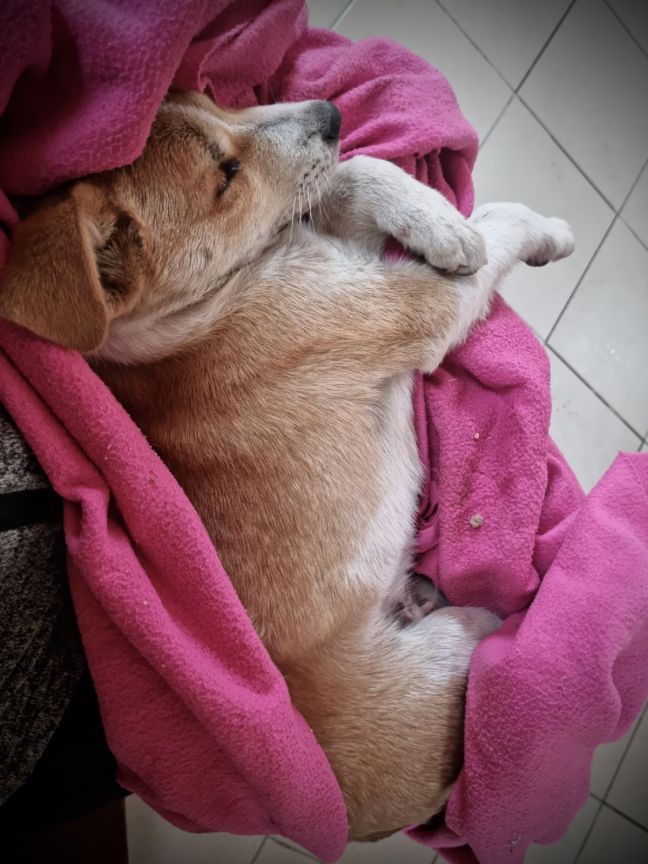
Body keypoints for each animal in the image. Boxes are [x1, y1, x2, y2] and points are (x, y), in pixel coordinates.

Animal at [0, 93, 574, 841]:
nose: (331, 113)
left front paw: (435, 219)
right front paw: (528, 231)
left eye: (206, 94)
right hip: (448, 659)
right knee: (494, 641)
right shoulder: (414, 306)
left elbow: (356, 172)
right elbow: (493, 232)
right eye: (226, 176)